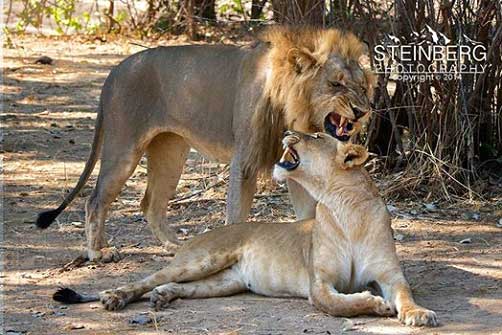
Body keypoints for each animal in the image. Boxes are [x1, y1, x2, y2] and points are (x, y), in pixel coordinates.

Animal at [36, 25, 372, 262]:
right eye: (336, 84)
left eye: (363, 86)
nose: (363, 111)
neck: (295, 110)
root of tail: (115, 71)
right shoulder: (245, 158)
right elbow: (236, 212)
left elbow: (308, 212)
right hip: (124, 148)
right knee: (95, 200)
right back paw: (98, 252)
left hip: (171, 152)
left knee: (151, 203)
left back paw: (175, 246)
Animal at [54, 132, 436, 328]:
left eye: (315, 135)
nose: (288, 130)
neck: (345, 209)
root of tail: (199, 235)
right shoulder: (319, 284)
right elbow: (339, 304)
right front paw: (374, 304)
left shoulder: (390, 275)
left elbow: (404, 295)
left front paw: (418, 314)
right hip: (202, 259)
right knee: (146, 279)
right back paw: (115, 297)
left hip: (224, 281)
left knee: (176, 287)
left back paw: (161, 297)